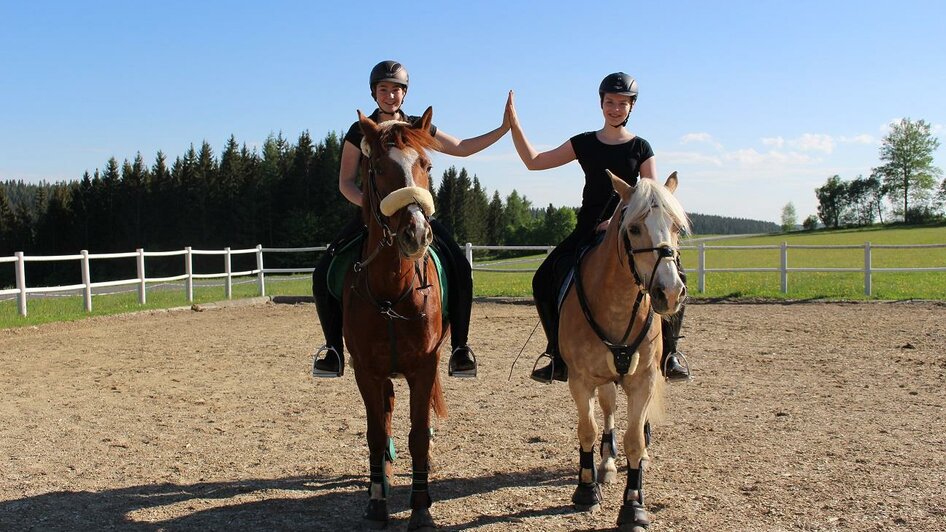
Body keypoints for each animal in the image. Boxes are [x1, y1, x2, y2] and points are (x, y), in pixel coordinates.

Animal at [342, 107, 450, 528]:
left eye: (427, 165)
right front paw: (376, 502)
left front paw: (421, 509)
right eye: (378, 168)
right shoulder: (365, 370)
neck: (392, 287)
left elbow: (419, 434)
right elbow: (375, 433)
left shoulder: (425, 366)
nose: (416, 234)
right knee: (386, 413)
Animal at [560, 171, 684, 532]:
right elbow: (587, 430)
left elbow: (635, 440)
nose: (670, 292)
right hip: (604, 379)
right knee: (609, 409)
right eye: (634, 229)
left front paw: (633, 507)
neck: (616, 302)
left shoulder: (644, 380)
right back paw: (606, 464)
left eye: (676, 226)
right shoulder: (581, 380)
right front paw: (587, 490)